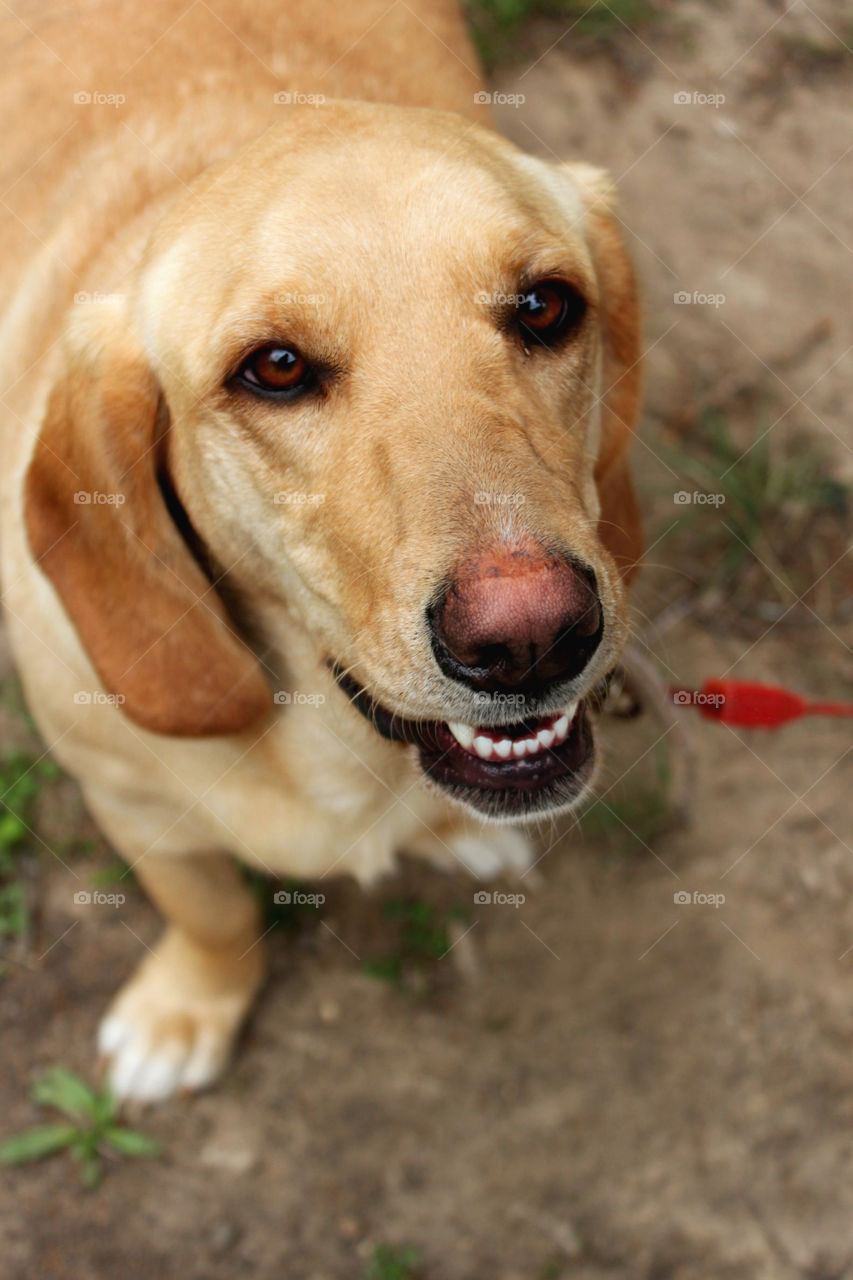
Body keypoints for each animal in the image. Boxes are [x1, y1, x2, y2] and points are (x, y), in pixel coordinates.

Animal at [0, 0, 637, 1100]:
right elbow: (211, 913)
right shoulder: (131, 804)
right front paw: (189, 1008)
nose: (531, 638)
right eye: (276, 368)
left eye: (544, 305)